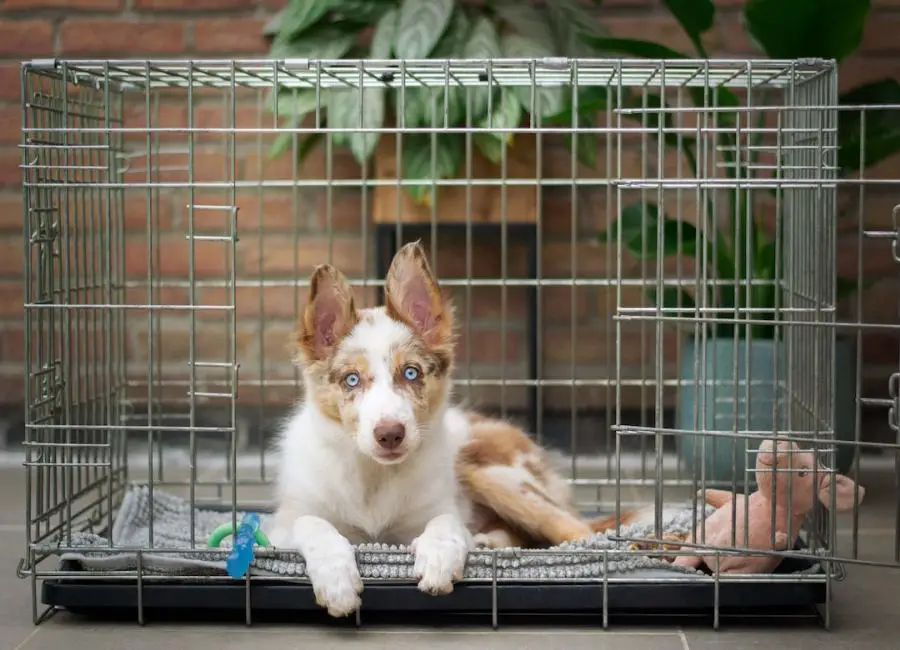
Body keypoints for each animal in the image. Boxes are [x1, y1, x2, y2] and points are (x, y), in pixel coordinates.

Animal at [268, 240, 624, 616]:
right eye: (352, 380)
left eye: (411, 373)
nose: (390, 434)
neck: (374, 477)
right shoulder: (282, 525)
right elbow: (313, 524)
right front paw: (336, 581)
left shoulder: (436, 509)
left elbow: (446, 522)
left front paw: (438, 558)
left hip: (490, 471)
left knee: (577, 530)